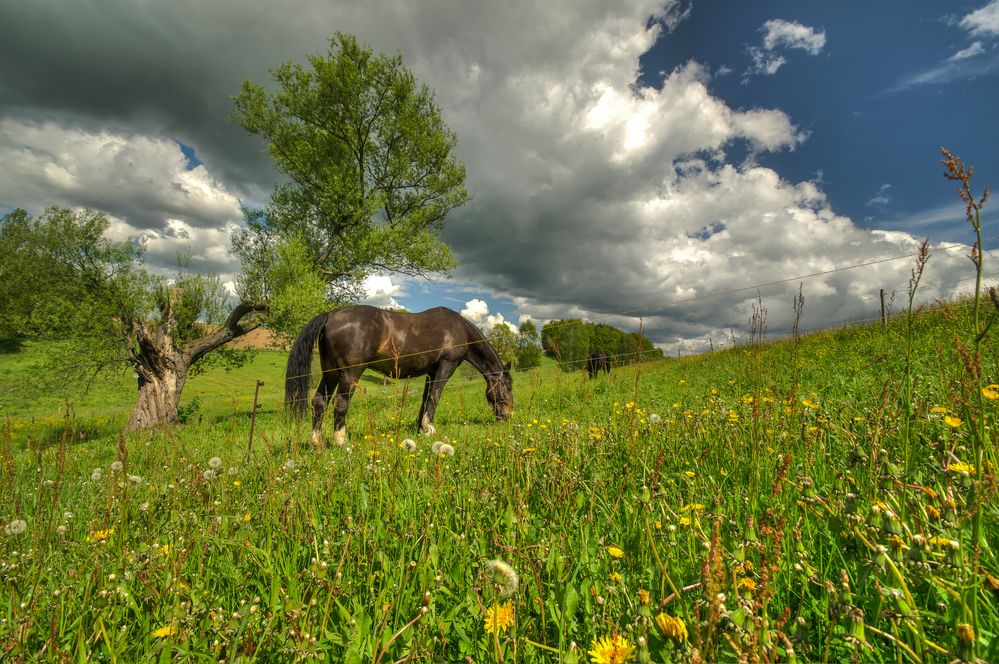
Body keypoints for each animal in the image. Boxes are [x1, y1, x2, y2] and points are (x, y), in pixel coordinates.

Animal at [284, 304, 512, 446]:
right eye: (508, 386)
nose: (507, 416)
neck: (458, 329)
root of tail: (330, 315)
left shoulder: (430, 372)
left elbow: (425, 399)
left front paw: (420, 428)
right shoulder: (446, 366)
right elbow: (435, 397)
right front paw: (429, 429)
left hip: (330, 372)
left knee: (319, 401)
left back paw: (317, 441)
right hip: (349, 374)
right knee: (340, 403)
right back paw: (341, 440)